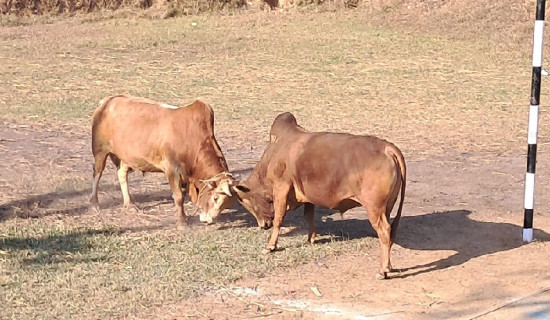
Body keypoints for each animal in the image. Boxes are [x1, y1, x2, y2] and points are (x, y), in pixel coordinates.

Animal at [91, 94, 237, 229]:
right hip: (100, 150)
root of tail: (107, 101)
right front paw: (182, 223)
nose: (209, 220)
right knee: (97, 174)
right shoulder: (172, 170)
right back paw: (94, 202)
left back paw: (129, 203)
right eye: (215, 198)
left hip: (126, 156)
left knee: (122, 173)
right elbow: (178, 197)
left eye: (227, 203)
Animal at [235, 112, 408, 278]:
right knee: (390, 233)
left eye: (246, 202)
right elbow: (309, 216)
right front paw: (311, 238)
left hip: (374, 208)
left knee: (384, 231)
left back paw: (382, 271)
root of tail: (386, 147)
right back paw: (388, 266)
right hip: (387, 207)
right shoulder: (308, 196)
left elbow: (278, 218)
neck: (276, 150)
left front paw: (270, 246)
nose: (262, 225)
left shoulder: (281, 188)